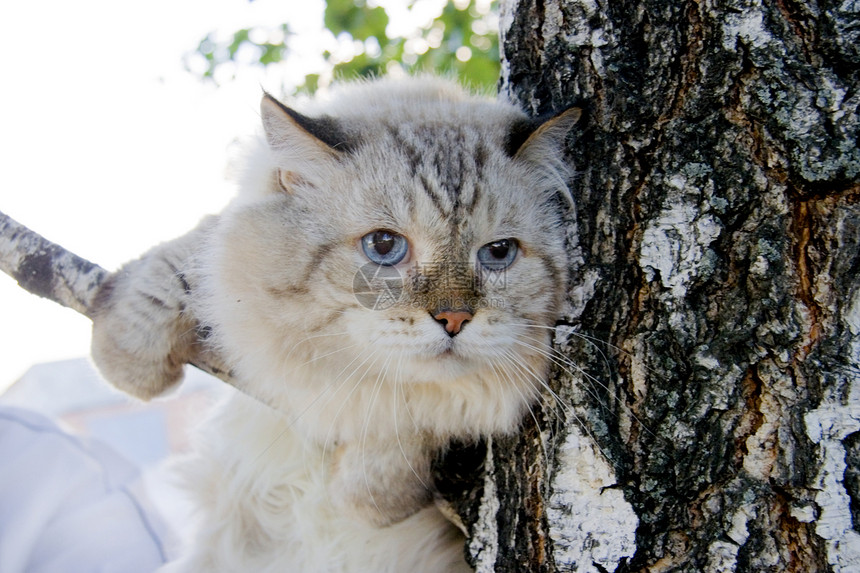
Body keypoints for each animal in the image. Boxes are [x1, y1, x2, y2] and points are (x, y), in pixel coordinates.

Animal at [89, 77, 576, 572]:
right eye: (384, 245)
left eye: (498, 253)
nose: (455, 318)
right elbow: (180, 261)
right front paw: (129, 359)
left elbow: (413, 423)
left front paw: (365, 497)